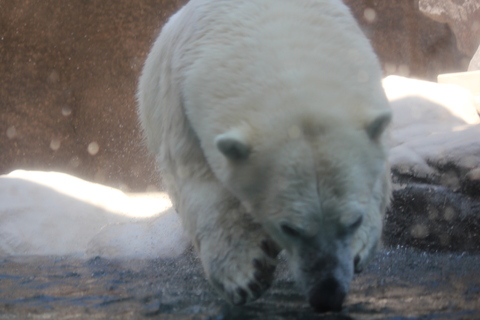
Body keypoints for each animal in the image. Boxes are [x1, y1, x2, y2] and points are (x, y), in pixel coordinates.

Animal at [137, 0, 392, 312]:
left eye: (354, 220)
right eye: (290, 228)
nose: (327, 295)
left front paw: (359, 248)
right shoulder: (180, 107)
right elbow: (198, 181)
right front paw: (246, 275)